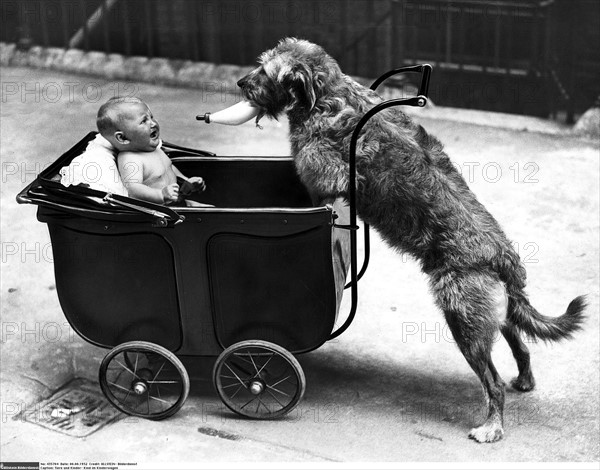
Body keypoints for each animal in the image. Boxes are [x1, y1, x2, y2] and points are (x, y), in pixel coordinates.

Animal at [237, 37, 588, 444]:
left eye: (267, 71)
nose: (240, 83)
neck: (327, 95)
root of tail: (503, 256)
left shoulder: (324, 180)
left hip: (463, 319)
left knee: (493, 383)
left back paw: (492, 426)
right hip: (491, 313)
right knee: (520, 344)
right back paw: (525, 380)